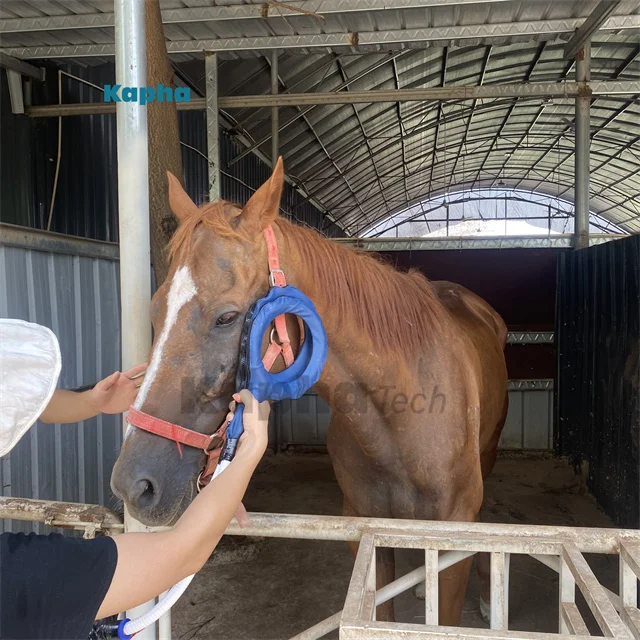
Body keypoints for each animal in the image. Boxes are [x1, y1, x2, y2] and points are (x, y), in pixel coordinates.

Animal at [111, 158, 509, 624]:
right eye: (155, 309)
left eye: (227, 317)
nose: (134, 485)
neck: (402, 414)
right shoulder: (364, 532)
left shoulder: (451, 542)